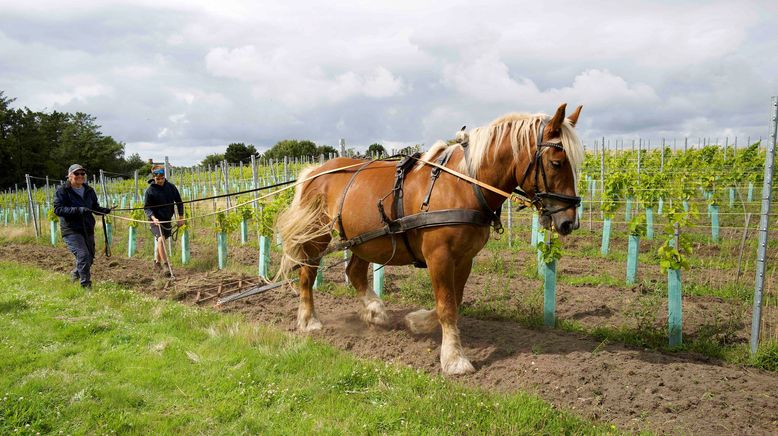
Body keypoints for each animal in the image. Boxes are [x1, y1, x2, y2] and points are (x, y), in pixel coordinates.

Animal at [276, 103, 580, 374]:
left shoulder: (465, 258)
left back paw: (375, 311)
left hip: (364, 239)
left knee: (355, 273)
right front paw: (455, 360)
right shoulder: (439, 256)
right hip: (318, 235)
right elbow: (446, 306)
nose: (569, 222)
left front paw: (417, 322)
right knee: (307, 274)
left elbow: (454, 301)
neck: (464, 184)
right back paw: (309, 320)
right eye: (556, 163)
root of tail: (315, 171)